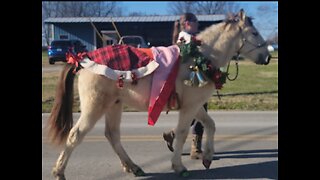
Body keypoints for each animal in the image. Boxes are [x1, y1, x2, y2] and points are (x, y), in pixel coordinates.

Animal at [45, 9, 270, 180]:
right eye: (254, 33)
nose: (267, 57)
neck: (199, 58)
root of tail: (81, 59)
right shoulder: (190, 107)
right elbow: (182, 133)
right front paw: (179, 166)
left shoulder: (195, 106)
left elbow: (210, 125)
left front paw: (207, 156)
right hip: (95, 107)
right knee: (75, 135)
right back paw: (58, 172)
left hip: (114, 105)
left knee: (112, 135)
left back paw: (133, 167)